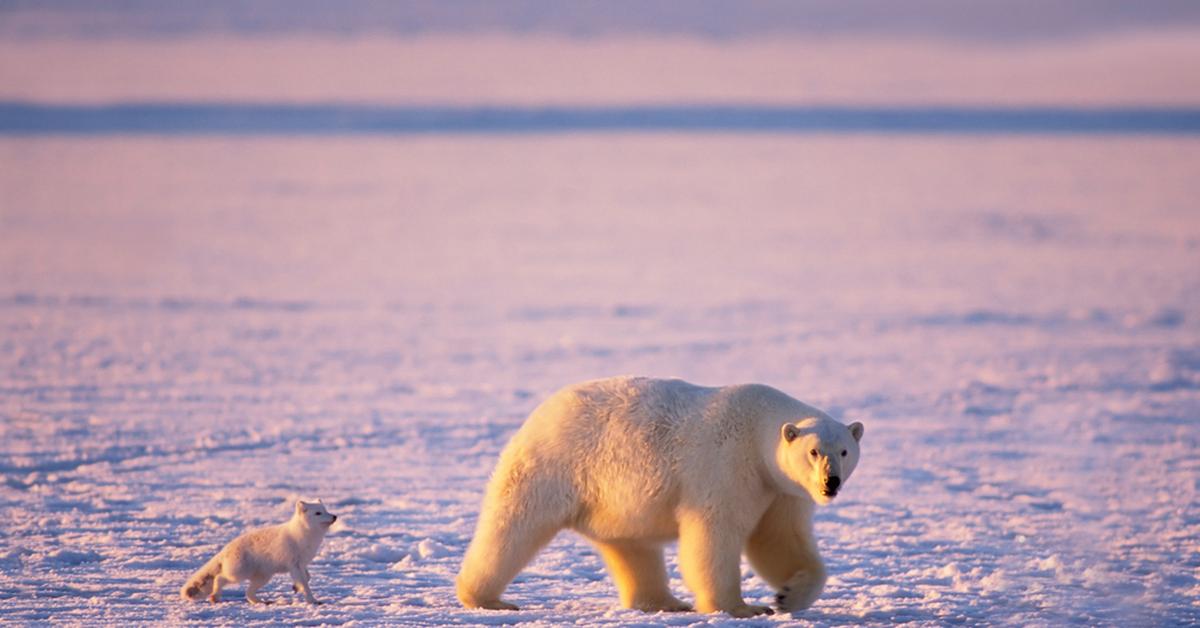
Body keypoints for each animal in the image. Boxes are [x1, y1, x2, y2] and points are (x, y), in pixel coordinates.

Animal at [180, 501, 336, 605]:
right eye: (318, 513)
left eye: (326, 510)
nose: (334, 516)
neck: (303, 536)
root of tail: (226, 548)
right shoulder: (294, 564)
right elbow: (305, 583)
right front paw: (312, 600)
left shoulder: (301, 564)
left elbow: (307, 577)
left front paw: (296, 587)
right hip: (239, 573)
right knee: (220, 578)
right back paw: (215, 596)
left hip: (263, 577)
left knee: (248, 593)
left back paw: (261, 602)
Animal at [456, 377, 864, 614]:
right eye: (814, 451)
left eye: (844, 450)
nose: (830, 483)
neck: (758, 426)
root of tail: (539, 413)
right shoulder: (728, 466)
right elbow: (715, 534)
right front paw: (740, 608)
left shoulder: (780, 490)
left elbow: (779, 539)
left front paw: (787, 595)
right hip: (555, 465)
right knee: (514, 526)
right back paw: (487, 598)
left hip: (613, 501)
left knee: (633, 547)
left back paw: (665, 602)